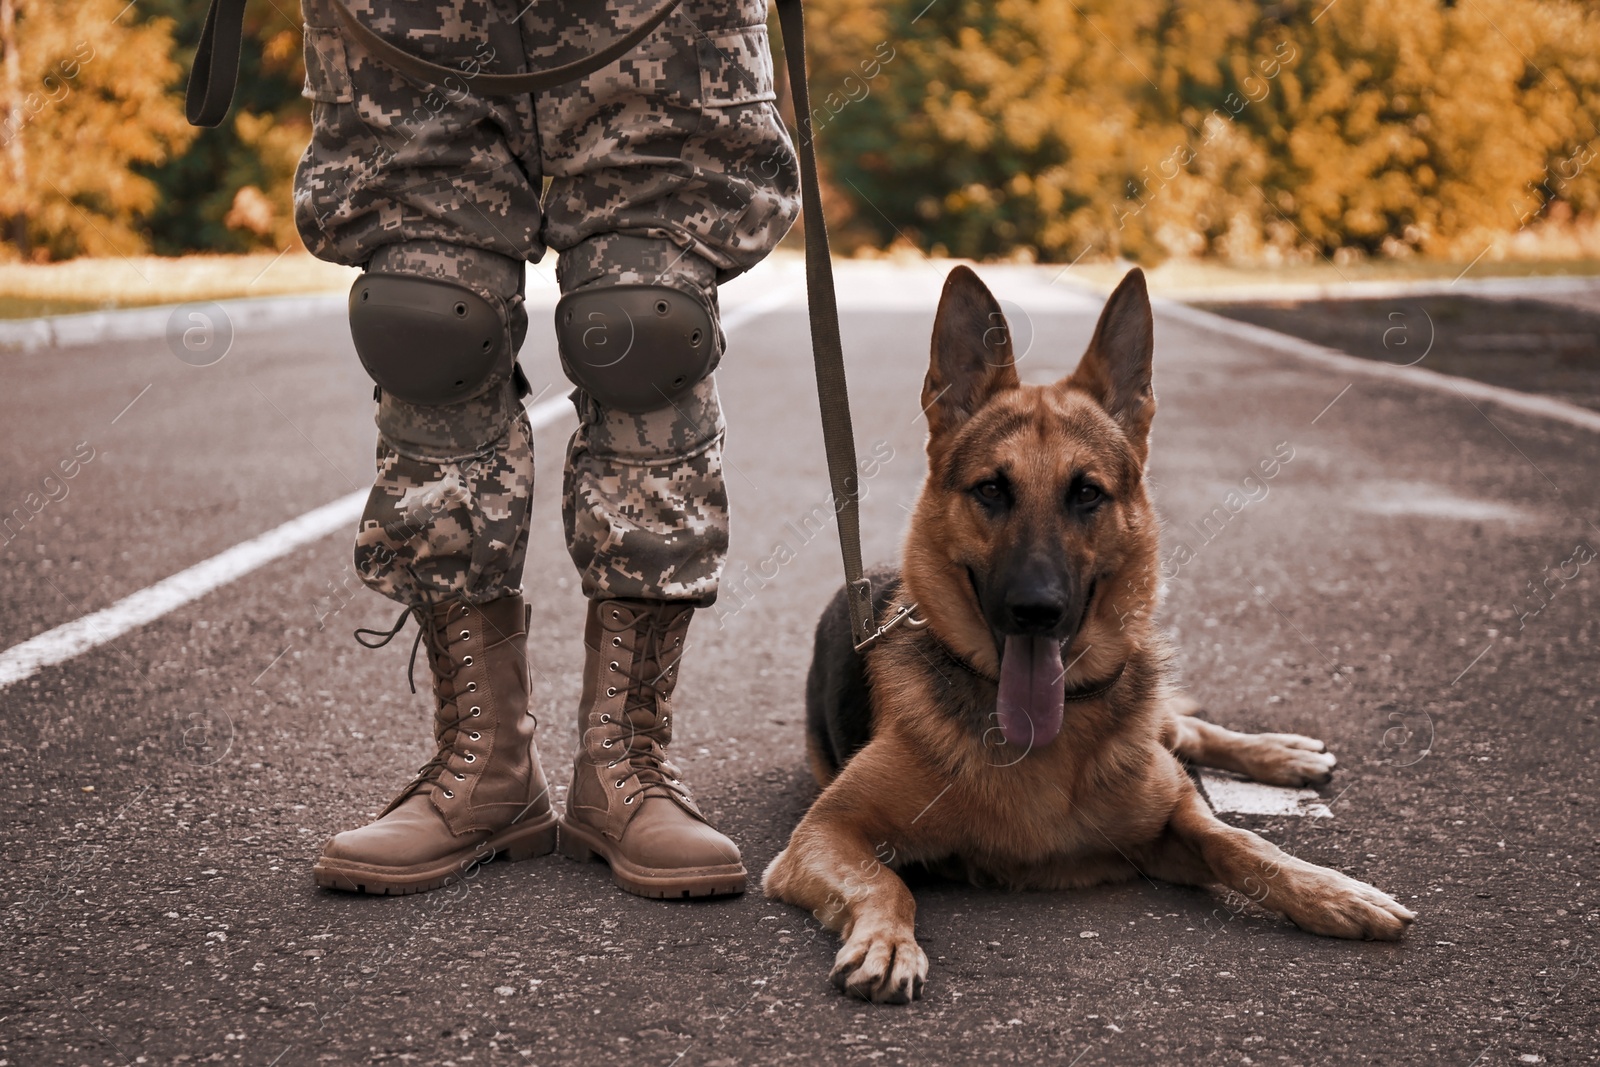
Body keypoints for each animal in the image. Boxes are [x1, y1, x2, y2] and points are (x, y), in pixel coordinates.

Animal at [761, 265, 1414, 1004]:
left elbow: (1241, 842)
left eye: (1087, 493)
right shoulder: (826, 831)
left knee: (1187, 727)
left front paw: (1330, 890)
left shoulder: (1174, 814)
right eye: (991, 490)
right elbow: (887, 881)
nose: (1036, 610)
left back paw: (1283, 753)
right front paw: (888, 940)